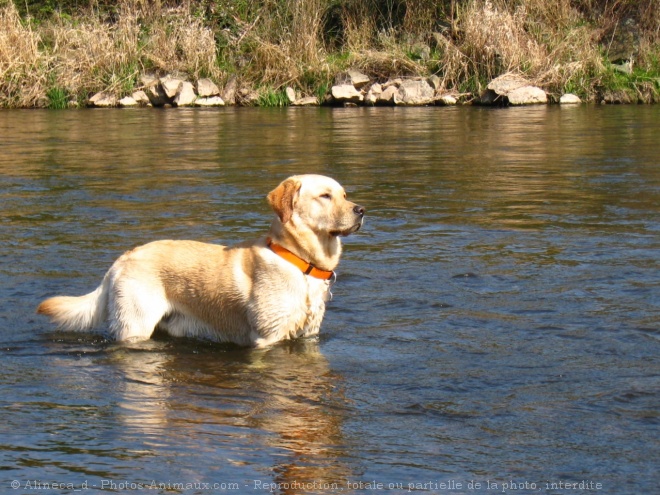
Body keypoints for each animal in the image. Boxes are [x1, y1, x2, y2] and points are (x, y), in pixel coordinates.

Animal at [35, 176, 364, 346]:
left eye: (345, 194)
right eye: (325, 196)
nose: (361, 210)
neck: (299, 261)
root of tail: (122, 258)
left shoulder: (307, 336)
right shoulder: (267, 339)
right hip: (134, 326)